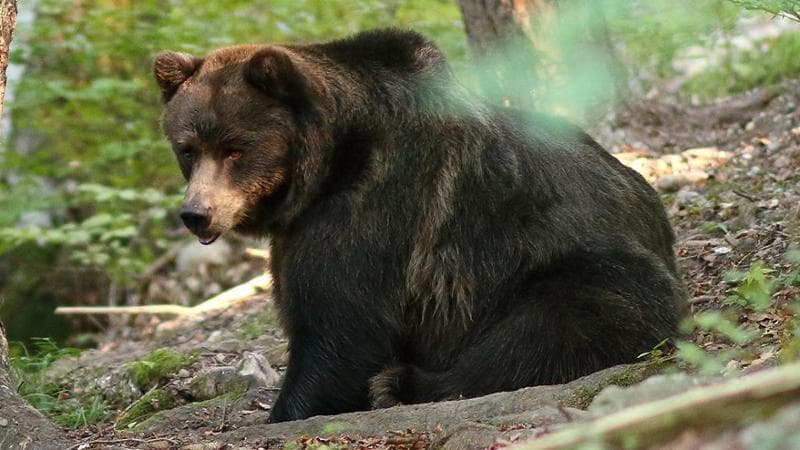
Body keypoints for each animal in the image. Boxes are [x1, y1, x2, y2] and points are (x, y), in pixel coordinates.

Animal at [153, 28, 684, 422]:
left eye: (234, 147)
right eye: (187, 148)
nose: (196, 213)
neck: (329, 164)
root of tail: (659, 219)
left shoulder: (373, 207)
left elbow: (340, 327)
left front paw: (291, 407)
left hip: (575, 262)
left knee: (564, 320)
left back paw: (401, 383)